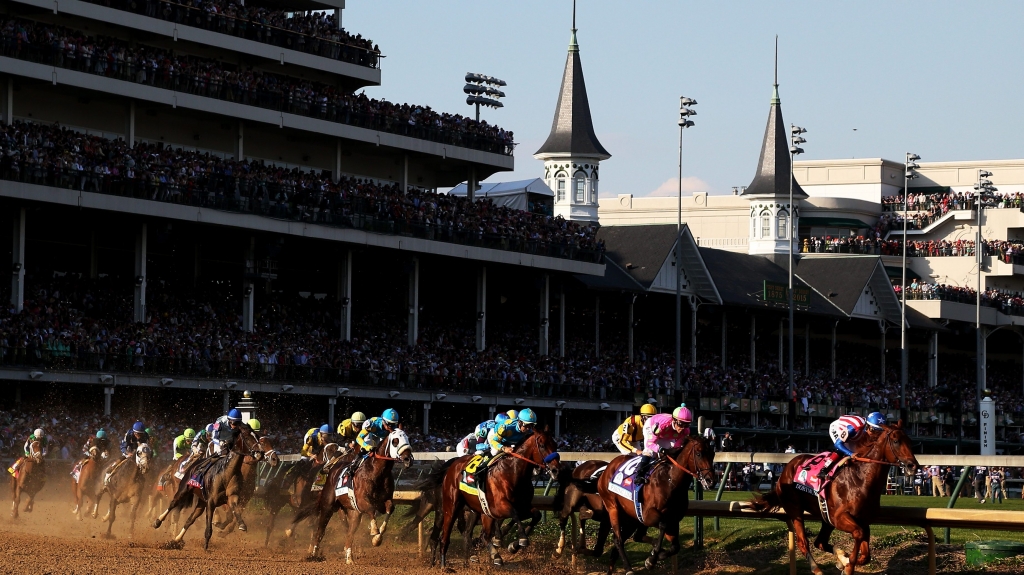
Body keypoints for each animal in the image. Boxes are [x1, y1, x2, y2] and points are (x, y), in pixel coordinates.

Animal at [288, 429, 411, 560]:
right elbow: (370, 509)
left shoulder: (383, 501)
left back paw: (347, 557)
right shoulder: (361, 501)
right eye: (395, 441)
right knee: (318, 526)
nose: (408, 459)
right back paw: (310, 549)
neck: (377, 473)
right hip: (325, 505)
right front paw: (374, 531)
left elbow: (389, 508)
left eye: (407, 438)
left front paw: (377, 538)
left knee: (346, 530)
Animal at [430, 427, 565, 564]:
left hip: (480, 510)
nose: (556, 470)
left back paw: (491, 556)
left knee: (480, 535)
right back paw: (442, 564)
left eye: (555, 445)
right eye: (542, 445)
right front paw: (521, 539)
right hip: (450, 507)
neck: (513, 473)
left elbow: (536, 515)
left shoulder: (522, 506)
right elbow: (514, 515)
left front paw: (513, 545)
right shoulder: (499, 507)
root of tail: (451, 466)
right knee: (444, 536)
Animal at [598, 433, 716, 572]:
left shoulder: (674, 520)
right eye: (699, 453)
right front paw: (652, 559)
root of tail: (607, 468)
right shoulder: (648, 515)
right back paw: (628, 569)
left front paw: (655, 555)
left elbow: (675, 547)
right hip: (613, 507)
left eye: (713, 454)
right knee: (618, 540)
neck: (670, 481)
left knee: (634, 538)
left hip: (631, 518)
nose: (711, 481)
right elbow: (663, 525)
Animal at [753, 415, 921, 572]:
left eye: (909, 440)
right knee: (803, 542)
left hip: (825, 516)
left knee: (819, 542)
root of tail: (786, 469)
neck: (860, 479)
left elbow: (865, 554)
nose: (913, 466)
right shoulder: (839, 517)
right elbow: (858, 534)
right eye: (896, 441)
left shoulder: (862, 520)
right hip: (795, 509)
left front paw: (845, 561)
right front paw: (847, 565)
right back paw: (818, 569)